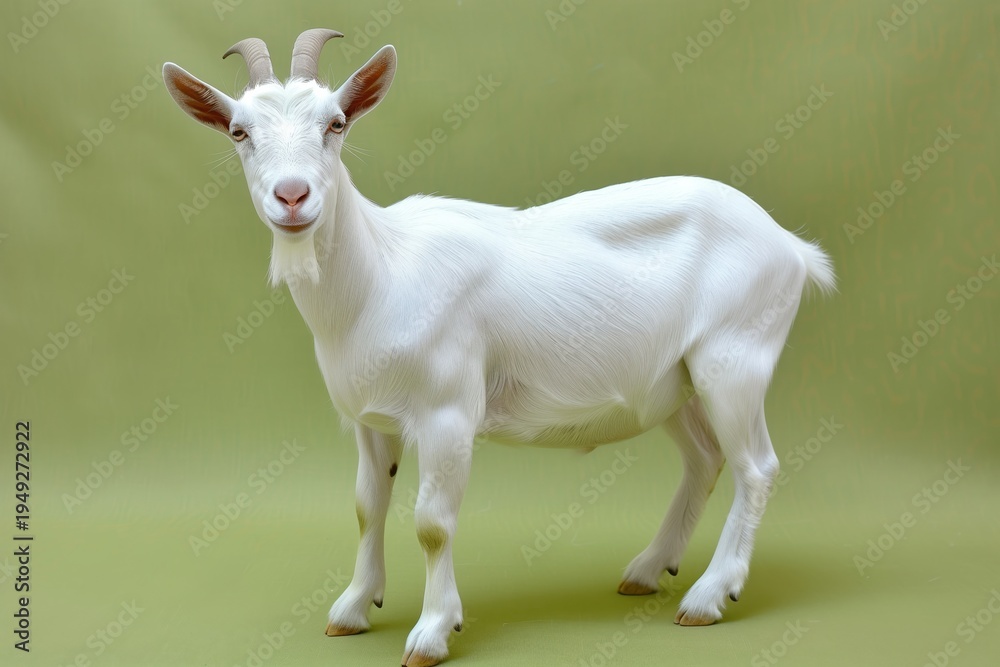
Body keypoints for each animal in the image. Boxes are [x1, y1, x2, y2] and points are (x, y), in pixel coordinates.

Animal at [164, 29, 835, 667]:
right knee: (704, 458)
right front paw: (353, 608)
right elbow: (366, 506)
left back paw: (709, 596)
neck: (382, 273)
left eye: (336, 123)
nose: (293, 196)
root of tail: (790, 246)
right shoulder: (370, 421)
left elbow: (432, 524)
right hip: (674, 379)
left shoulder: (448, 411)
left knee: (755, 466)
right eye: (239, 131)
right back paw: (648, 570)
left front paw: (433, 632)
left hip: (735, 357)